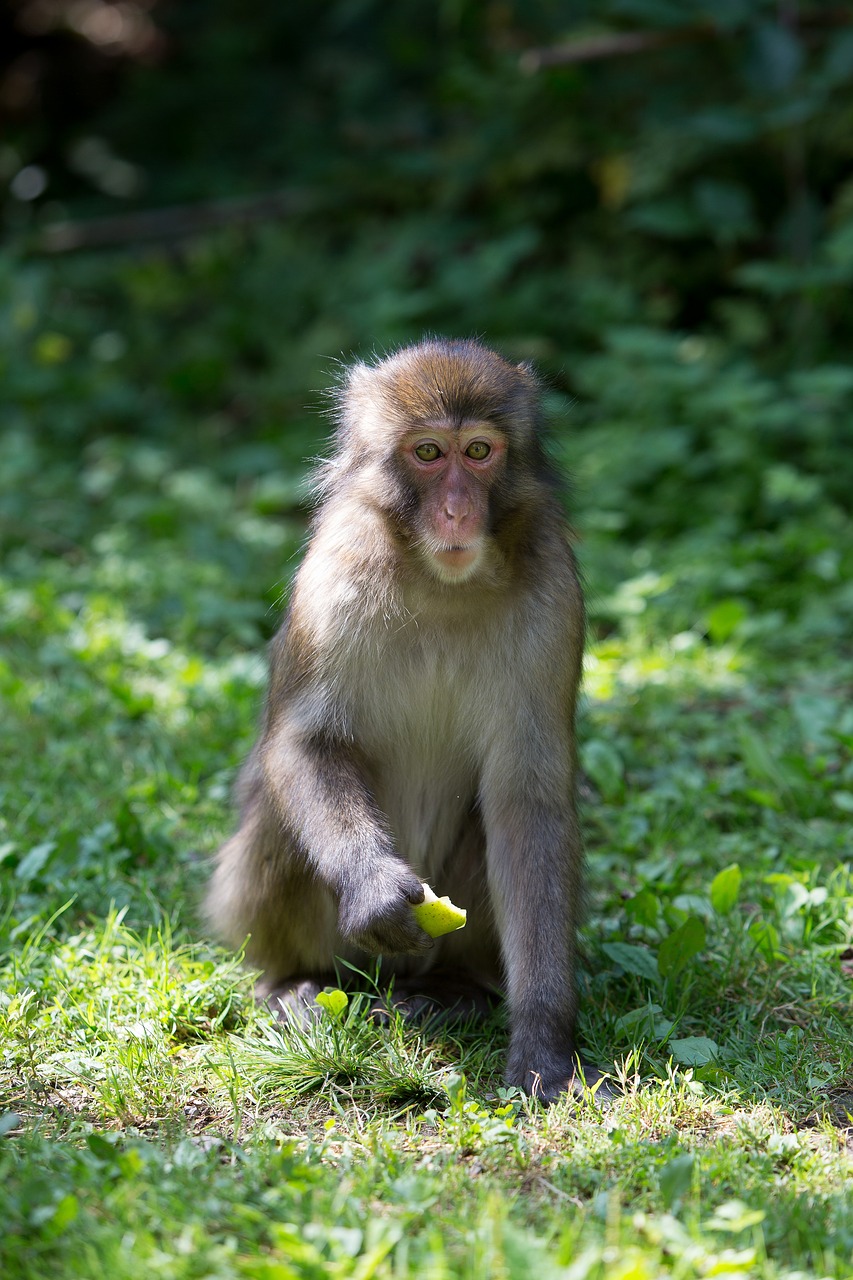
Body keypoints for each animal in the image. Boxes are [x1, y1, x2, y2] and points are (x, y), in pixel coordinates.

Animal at [203, 337, 596, 1100]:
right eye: (427, 453)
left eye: (478, 451)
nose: (456, 511)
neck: (442, 584)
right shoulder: (337, 570)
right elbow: (305, 743)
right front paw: (373, 885)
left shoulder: (553, 593)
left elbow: (528, 802)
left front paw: (542, 1036)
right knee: (280, 815)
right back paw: (295, 981)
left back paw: (453, 991)